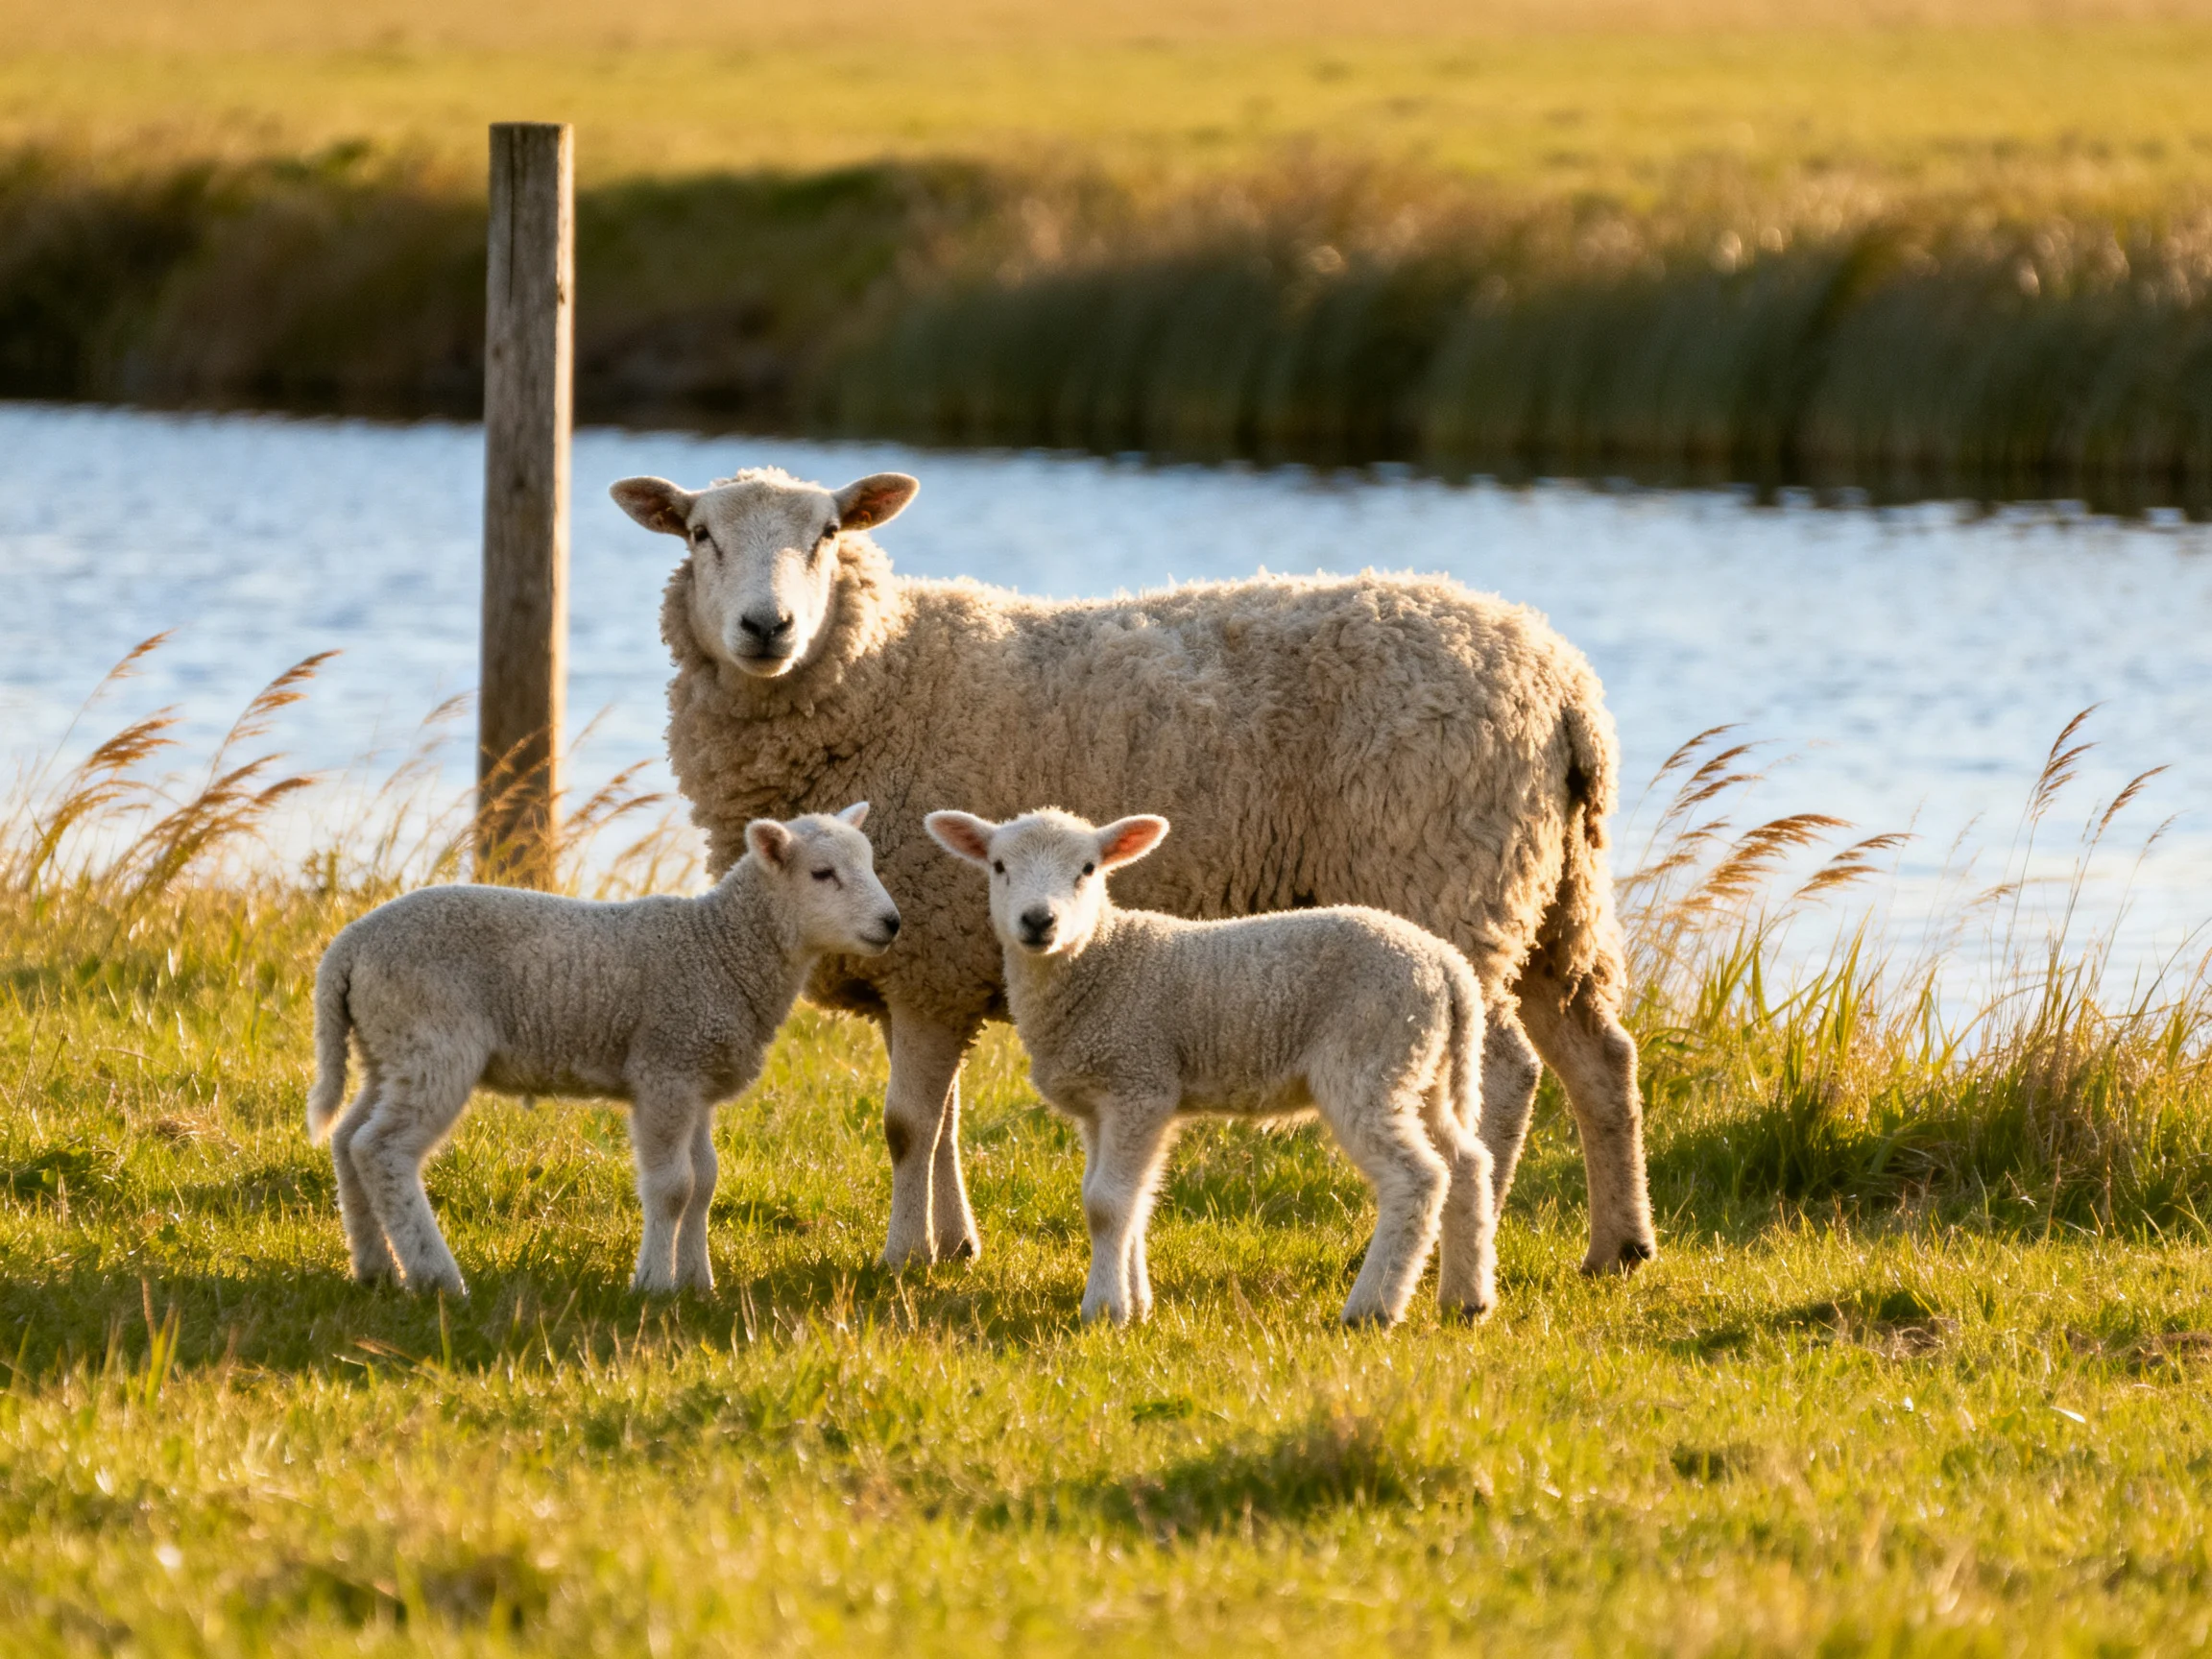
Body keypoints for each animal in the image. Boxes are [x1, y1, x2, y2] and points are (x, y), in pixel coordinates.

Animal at [304, 804, 899, 1296]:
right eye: (822, 874)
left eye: (870, 863)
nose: (892, 923)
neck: (721, 949)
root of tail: (348, 946)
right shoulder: (664, 1069)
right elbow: (673, 1187)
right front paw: (654, 1284)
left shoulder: (697, 1078)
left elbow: (705, 1182)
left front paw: (697, 1283)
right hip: (433, 1040)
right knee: (382, 1150)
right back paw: (435, 1277)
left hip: (389, 1047)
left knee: (348, 1139)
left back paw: (375, 1267)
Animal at [927, 807, 1497, 1328]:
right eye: (999, 866)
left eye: (1088, 869)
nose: (1039, 921)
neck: (1101, 963)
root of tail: (1447, 965)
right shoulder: (1108, 1102)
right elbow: (1134, 1200)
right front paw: (1138, 1306)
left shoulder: (1139, 1080)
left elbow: (1106, 1204)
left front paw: (1105, 1311)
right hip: (1418, 1067)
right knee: (1467, 1162)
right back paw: (1466, 1301)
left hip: (1368, 1058)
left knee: (1418, 1179)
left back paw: (1371, 1309)